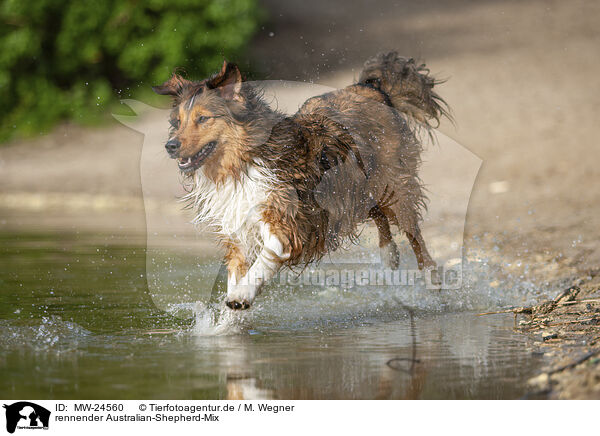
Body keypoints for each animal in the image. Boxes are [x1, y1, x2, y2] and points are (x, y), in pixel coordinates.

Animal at [152, 52, 448, 310]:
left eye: (203, 118)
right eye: (177, 121)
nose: (170, 146)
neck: (242, 164)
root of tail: (371, 89)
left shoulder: (287, 223)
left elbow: (261, 263)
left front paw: (242, 295)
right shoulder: (238, 230)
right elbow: (237, 273)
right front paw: (227, 322)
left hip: (395, 186)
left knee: (415, 238)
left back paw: (431, 282)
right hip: (355, 187)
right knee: (376, 211)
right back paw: (389, 255)